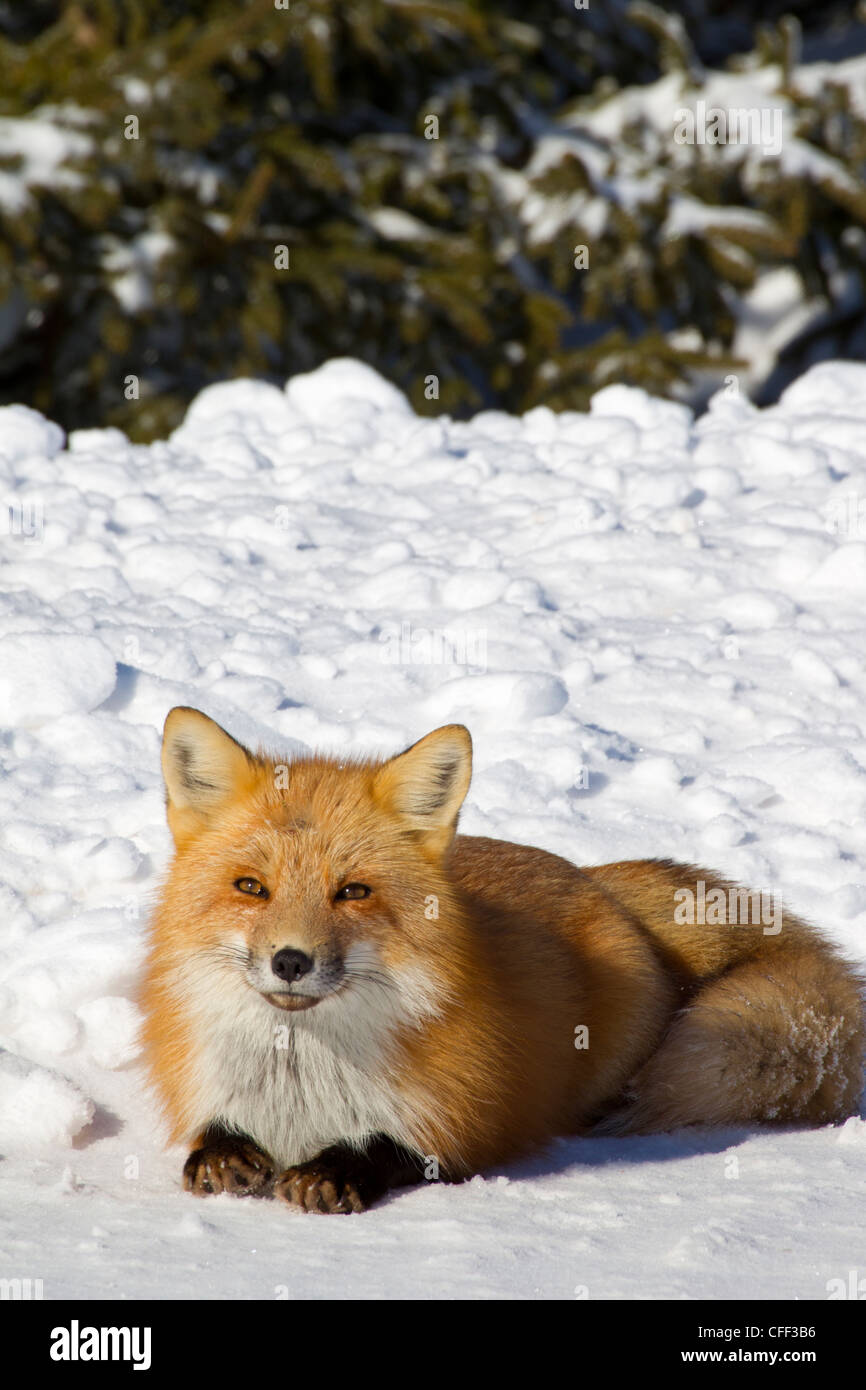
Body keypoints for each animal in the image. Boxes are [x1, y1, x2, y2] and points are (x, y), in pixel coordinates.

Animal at [139, 711, 861, 1212]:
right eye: (251, 887)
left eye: (353, 892)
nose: (290, 960)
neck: (300, 1086)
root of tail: (593, 876)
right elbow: (210, 1137)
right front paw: (222, 1156)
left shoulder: (468, 1123)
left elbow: (394, 1147)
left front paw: (337, 1169)